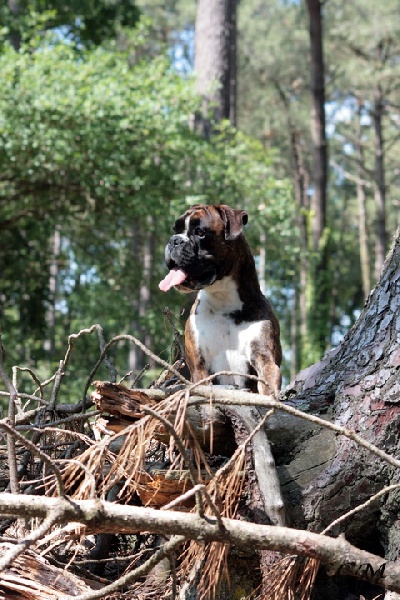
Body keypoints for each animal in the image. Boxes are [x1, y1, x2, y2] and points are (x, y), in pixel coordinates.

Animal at [159, 204, 282, 396]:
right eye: (176, 230)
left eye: (200, 232)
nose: (174, 240)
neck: (224, 301)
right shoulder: (199, 367)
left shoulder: (266, 361)